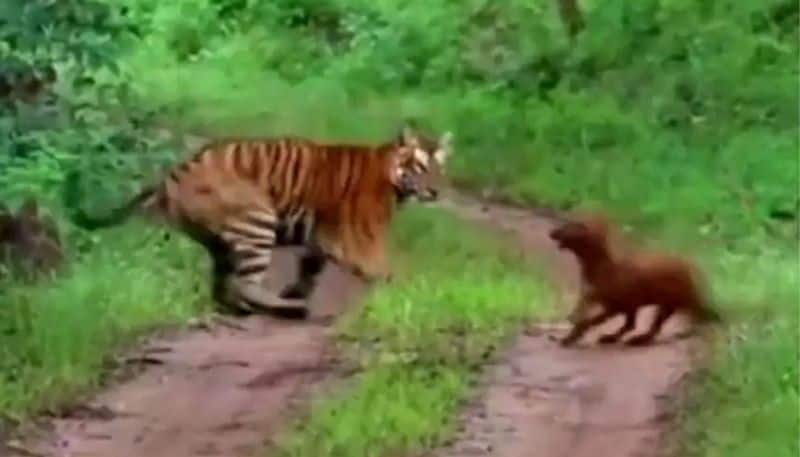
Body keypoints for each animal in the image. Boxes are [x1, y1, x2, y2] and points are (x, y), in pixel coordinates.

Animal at [61, 124, 450, 318]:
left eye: (440, 168)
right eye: (420, 167)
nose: (435, 190)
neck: (393, 179)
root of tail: (171, 175)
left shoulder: (322, 239)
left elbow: (310, 267)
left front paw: (296, 289)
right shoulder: (359, 236)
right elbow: (386, 269)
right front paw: (415, 290)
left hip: (220, 240)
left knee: (224, 283)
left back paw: (246, 308)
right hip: (256, 219)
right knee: (245, 282)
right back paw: (286, 310)